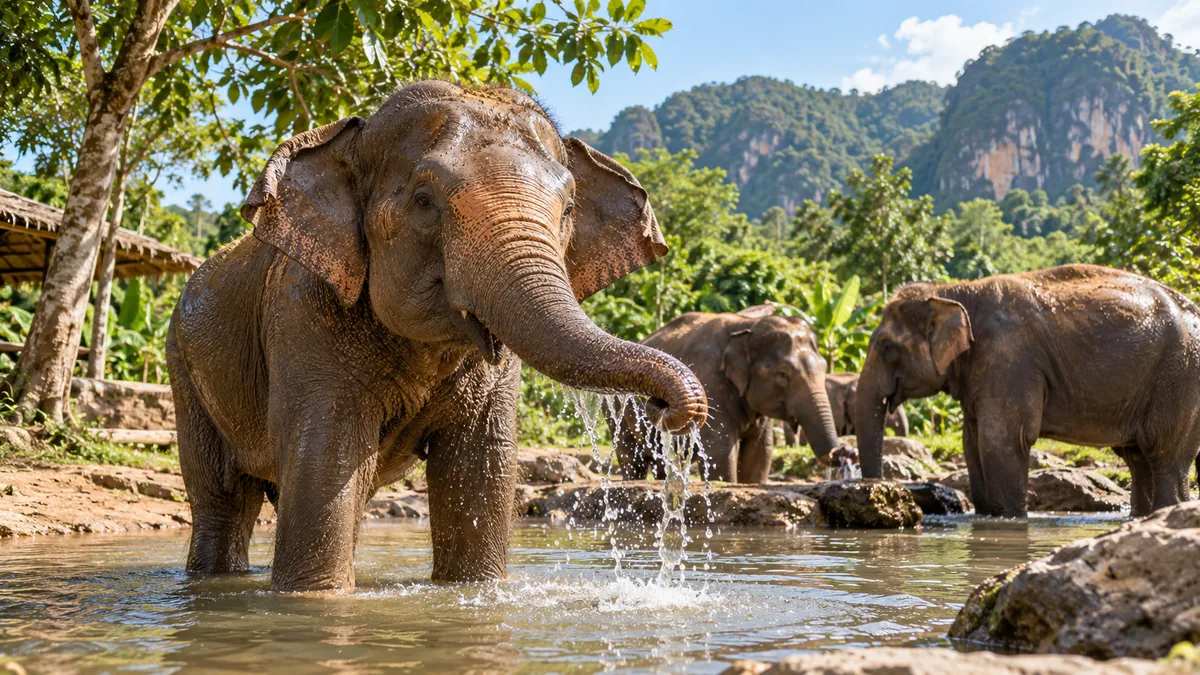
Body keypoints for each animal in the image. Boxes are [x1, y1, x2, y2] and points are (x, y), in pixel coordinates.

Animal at [166, 81, 708, 592]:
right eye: (424, 201)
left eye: (569, 209)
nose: (668, 408)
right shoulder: (303, 313)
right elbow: (325, 456)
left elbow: (479, 465)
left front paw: (474, 587)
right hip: (184, 369)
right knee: (222, 498)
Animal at [613, 304, 846, 483]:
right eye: (782, 374)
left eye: (824, 367)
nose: (844, 452)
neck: (745, 325)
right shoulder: (709, 383)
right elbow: (722, 452)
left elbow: (760, 453)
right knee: (631, 458)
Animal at [856, 264, 1200, 518]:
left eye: (886, 346)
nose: (879, 489)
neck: (953, 291)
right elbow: (972, 441)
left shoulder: (1010, 359)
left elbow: (1002, 438)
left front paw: (1008, 519)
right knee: (1138, 459)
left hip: (1179, 374)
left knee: (1162, 453)